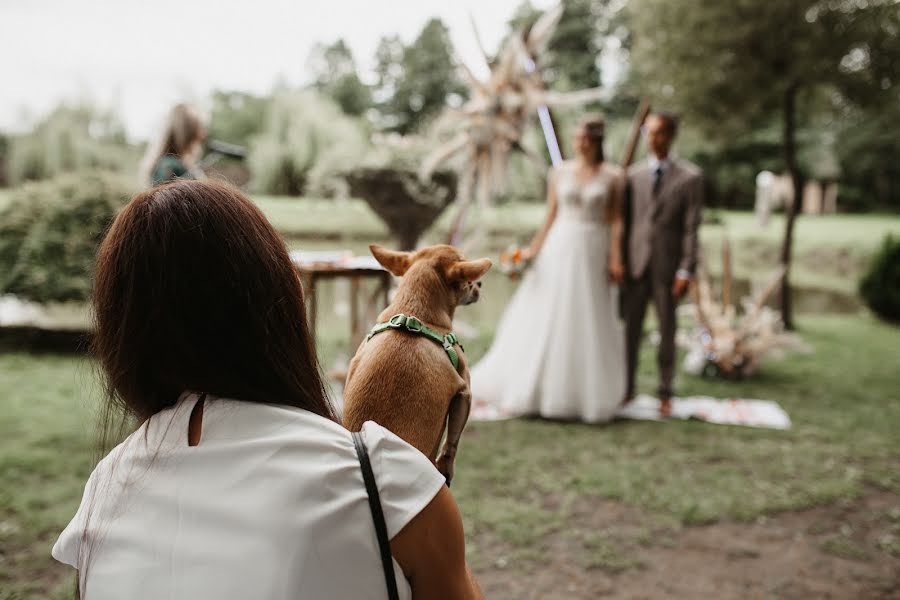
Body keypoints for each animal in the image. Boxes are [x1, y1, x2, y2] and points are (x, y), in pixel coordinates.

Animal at [342, 244, 492, 482]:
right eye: (469, 280)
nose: (479, 284)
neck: (413, 313)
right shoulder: (464, 393)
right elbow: (452, 442)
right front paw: (446, 466)